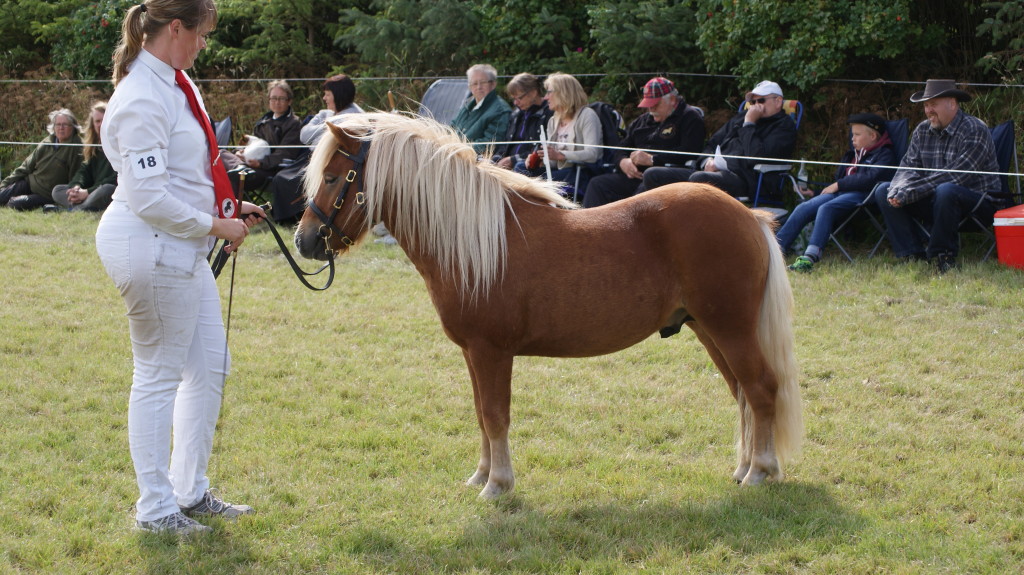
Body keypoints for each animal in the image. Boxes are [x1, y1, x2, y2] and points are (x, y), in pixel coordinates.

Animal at [292, 112, 802, 497]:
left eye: (334, 177)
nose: (305, 241)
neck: (475, 241)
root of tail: (750, 216)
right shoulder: (472, 354)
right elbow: (480, 413)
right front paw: (480, 475)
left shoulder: (491, 352)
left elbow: (495, 414)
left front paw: (497, 485)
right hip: (708, 329)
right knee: (743, 395)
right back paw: (744, 468)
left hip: (731, 328)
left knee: (761, 389)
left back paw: (760, 473)